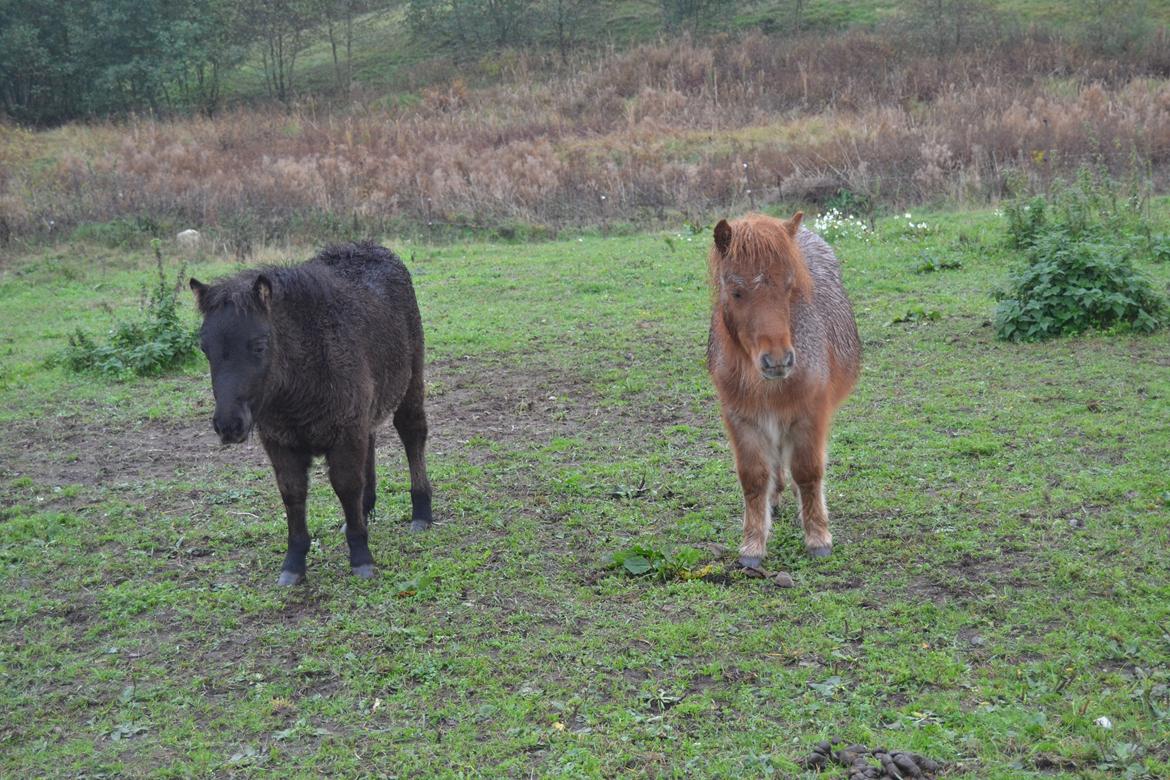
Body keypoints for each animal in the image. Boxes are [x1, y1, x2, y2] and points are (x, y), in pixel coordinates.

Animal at [702, 214, 861, 568]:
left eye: (789, 286)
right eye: (736, 292)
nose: (778, 360)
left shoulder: (811, 413)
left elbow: (808, 471)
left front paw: (818, 538)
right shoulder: (741, 419)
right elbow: (753, 477)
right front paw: (752, 546)